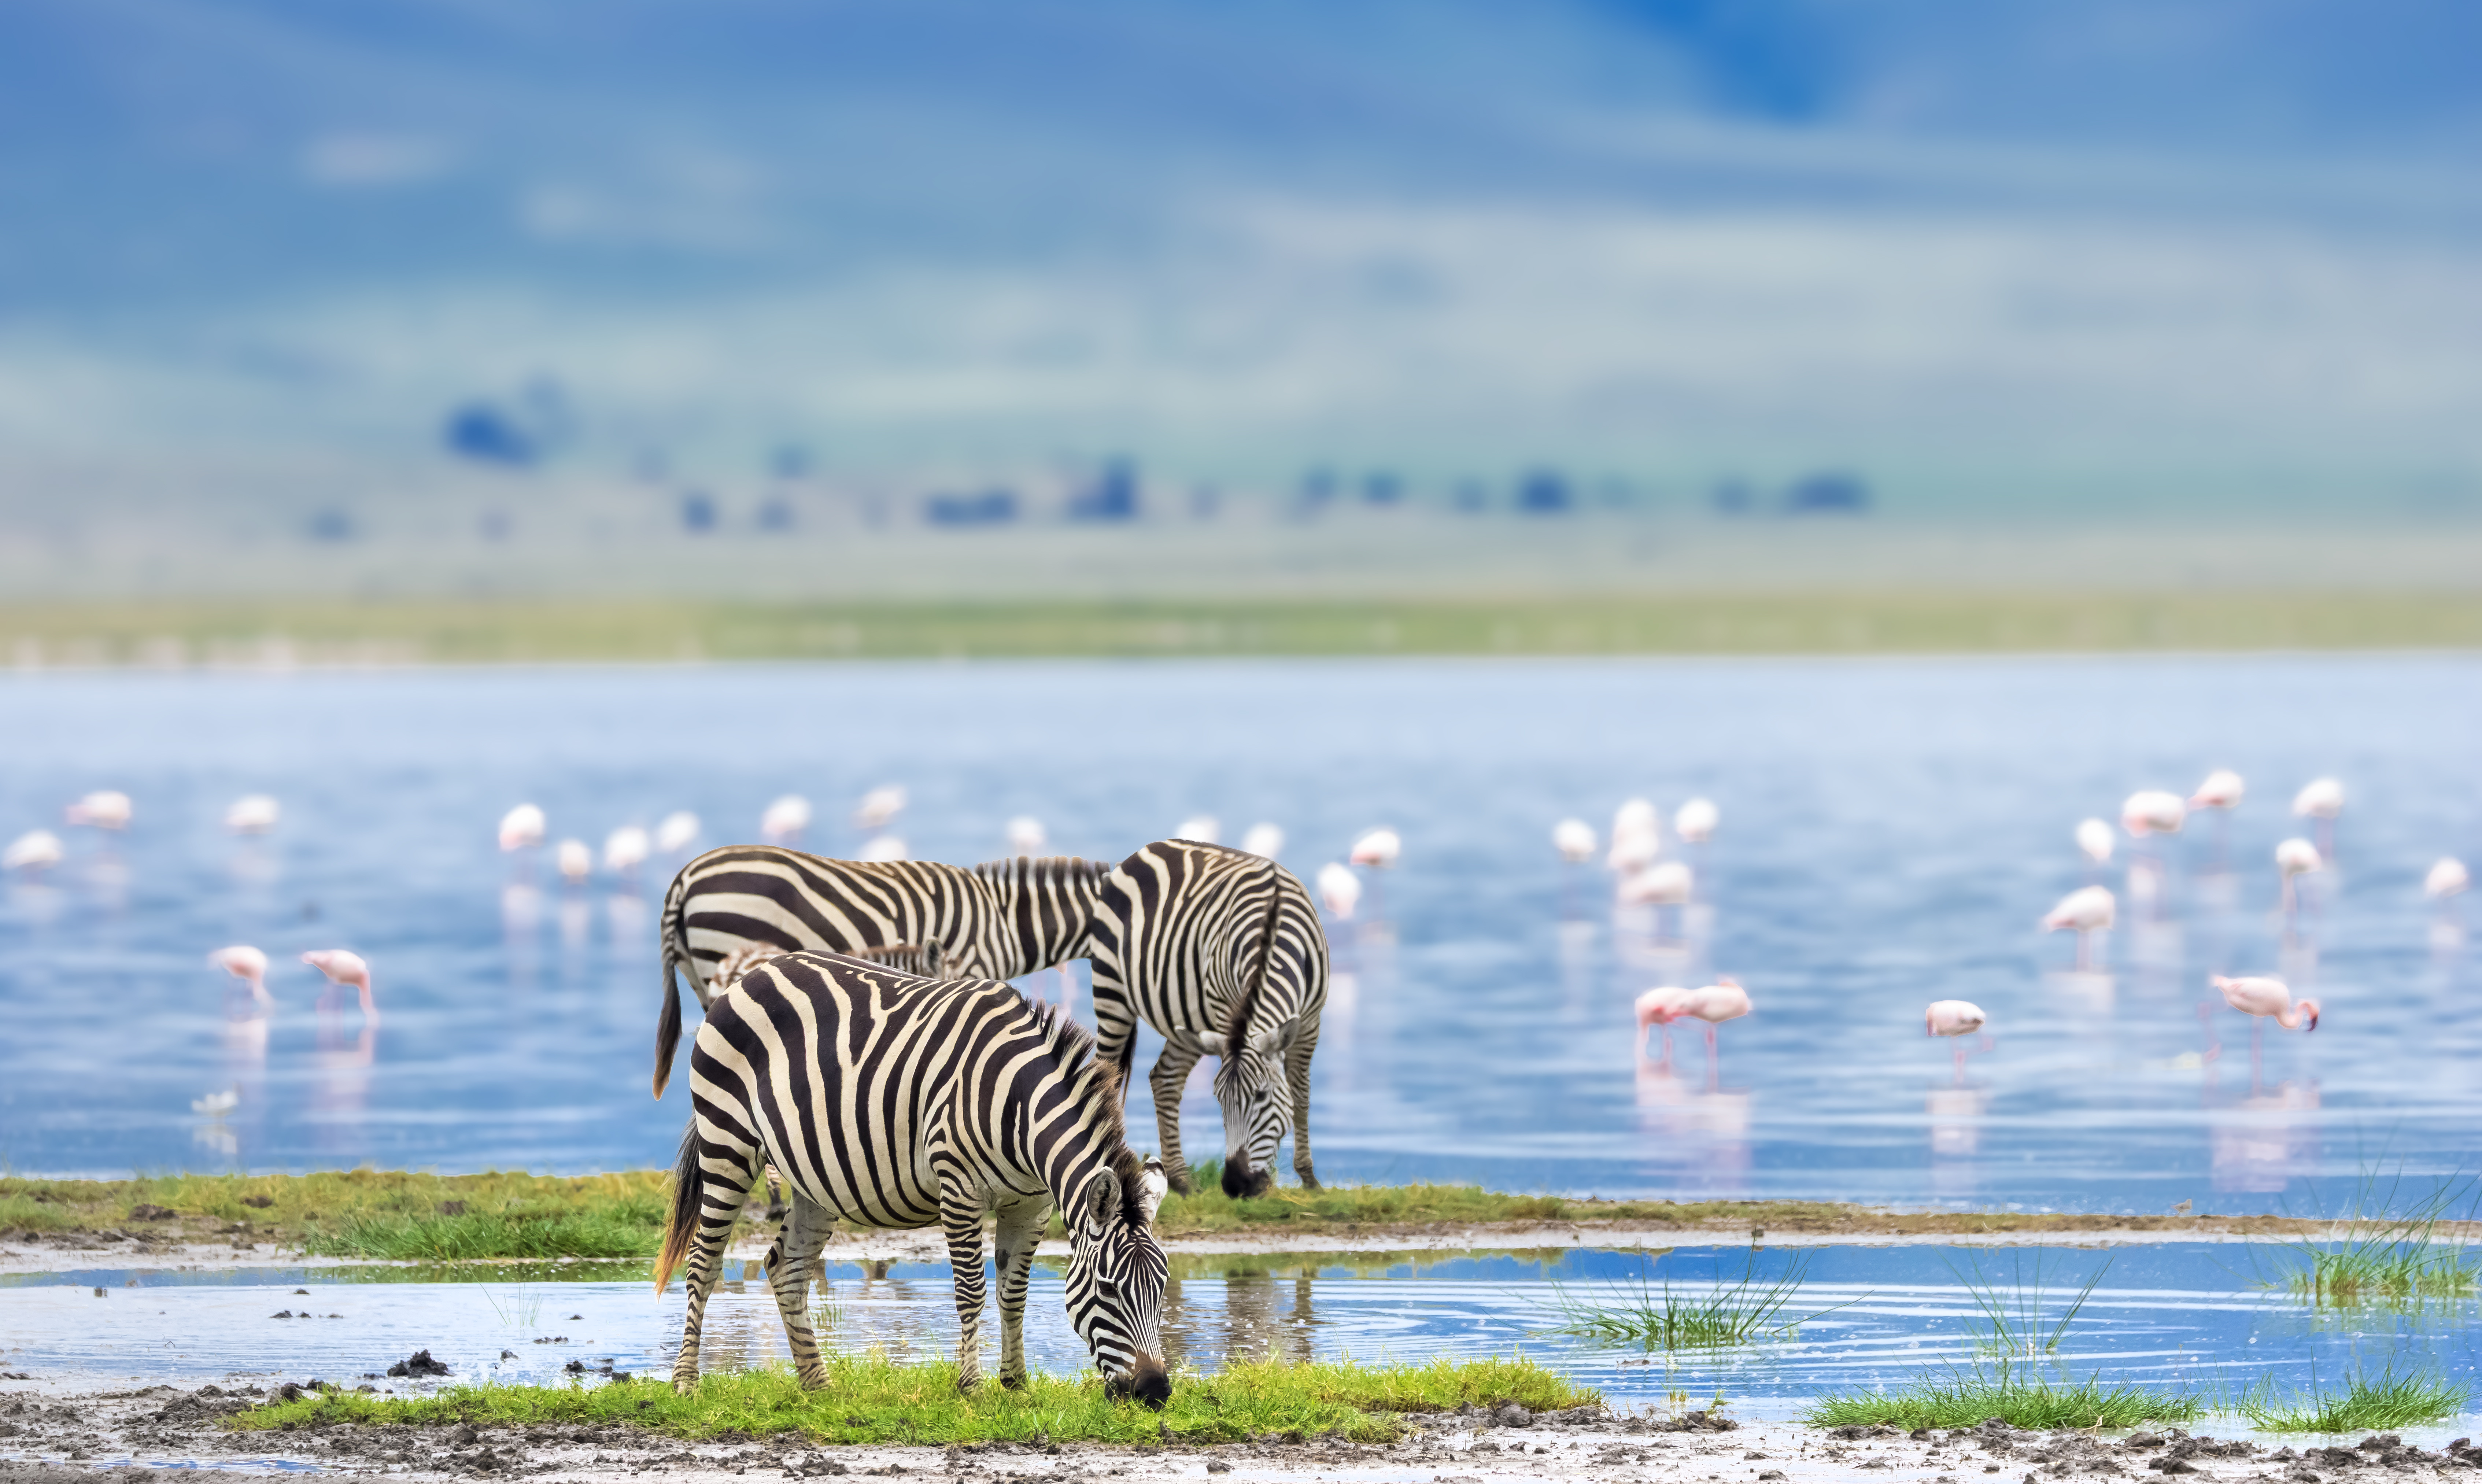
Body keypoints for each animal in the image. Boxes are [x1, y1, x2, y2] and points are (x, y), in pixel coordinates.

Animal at [655, 950, 1171, 1403]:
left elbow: (1014, 1293)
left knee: (787, 1267)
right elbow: (973, 1292)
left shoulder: (1032, 1204)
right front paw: (972, 1388)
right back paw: (685, 1383)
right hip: (728, 1142)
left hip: (811, 1178)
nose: (1155, 1392)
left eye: (1163, 1287)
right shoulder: (960, 1191)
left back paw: (817, 1385)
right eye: (1108, 1288)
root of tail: (752, 973)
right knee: (703, 1262)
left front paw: (1015, 1385)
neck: (1019, 1107)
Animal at [1088, 839, 1329, 1200]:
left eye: (1262, 1096)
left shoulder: (1310, 1023)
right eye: (1220, 1101)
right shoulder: (1227, 1014)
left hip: (1187, 1019)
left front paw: (1310, 1179)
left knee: (1165, 1078)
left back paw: (1181, 1181)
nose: (1236, 1185)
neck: (1272, 933)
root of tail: (1144, 850)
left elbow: (1301, 1093)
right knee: (1103, 1076)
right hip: (1112, 992)